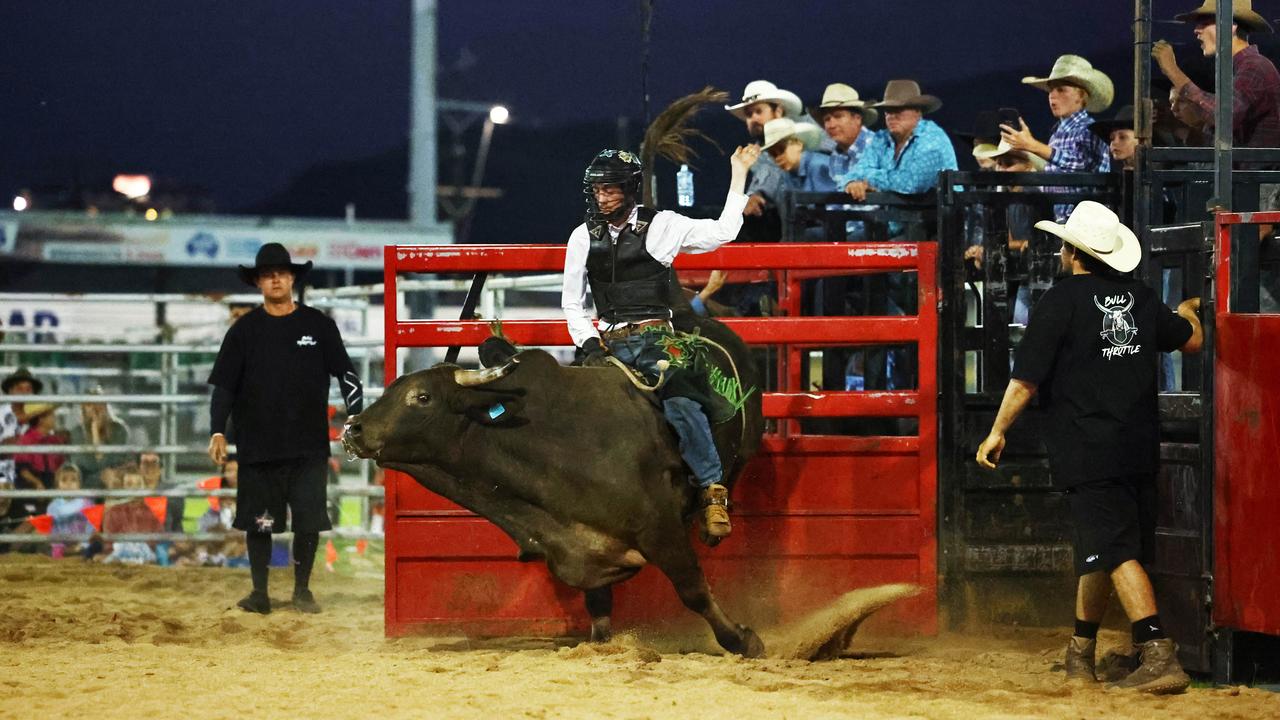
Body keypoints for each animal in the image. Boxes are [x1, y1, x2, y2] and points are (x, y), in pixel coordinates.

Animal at [340, 304, 762, 653]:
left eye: (422, 397)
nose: (352, 427)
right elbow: (598, 602)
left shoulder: (659, 528)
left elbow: (692, 588)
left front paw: (744, 640)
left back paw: (713, 516)